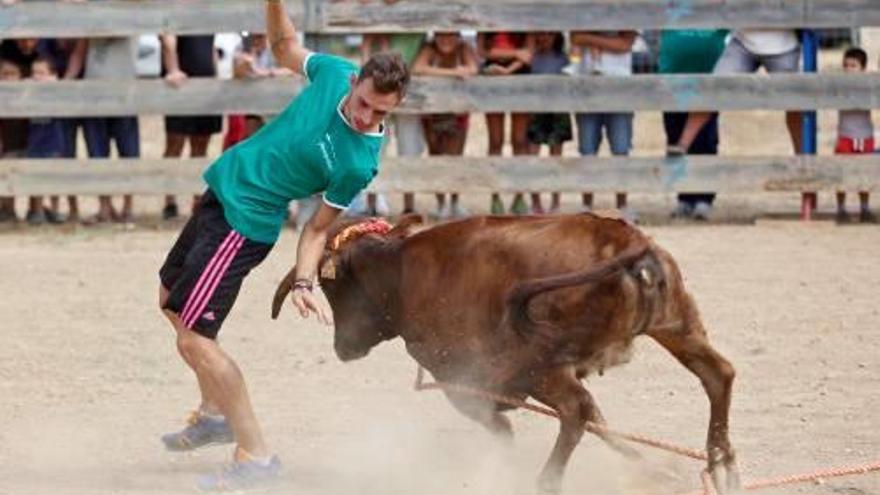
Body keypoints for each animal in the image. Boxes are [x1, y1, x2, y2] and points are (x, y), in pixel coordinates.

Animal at [272, 214, 740, 495]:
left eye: (332, 286)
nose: (342, 346)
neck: (401, 272)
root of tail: (626, 245)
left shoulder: (462, 383)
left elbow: (503, 428)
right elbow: (603, 423)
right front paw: (653, 468)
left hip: (543, 365)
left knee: (575, 410)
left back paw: (545, 482)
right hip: (676, 324)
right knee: (717, 374)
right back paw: (723, 464)